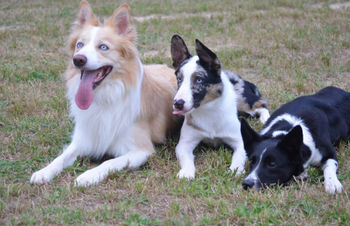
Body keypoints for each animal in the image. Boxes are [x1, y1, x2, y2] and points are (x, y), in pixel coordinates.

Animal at [30, 0, 180, 186]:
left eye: (103, 47)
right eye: (79, 45)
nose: (78, 59)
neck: (105, 97)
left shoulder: (141, 150)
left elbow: (109, 162)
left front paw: (87, 176)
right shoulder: (84, 138)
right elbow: (61, 157)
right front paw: (44, 171)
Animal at [171, 35, 270, 179]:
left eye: (199, 80)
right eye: (179, 79)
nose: (177, 104)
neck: (207, 109)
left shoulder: (240, 140)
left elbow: (238, 156)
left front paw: (235, 169)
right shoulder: (184, 143)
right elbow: (187, 158)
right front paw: (187, 171)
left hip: (242, 100)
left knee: (261, 104)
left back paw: (265, 119)